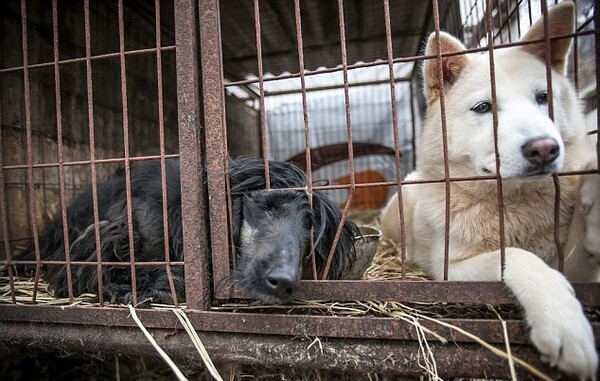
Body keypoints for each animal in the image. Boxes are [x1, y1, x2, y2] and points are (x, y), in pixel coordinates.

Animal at [382, 2, 596, 378]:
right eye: (483, 107)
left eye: (543, 98)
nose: (544, 149)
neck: (513, 203)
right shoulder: (450, 269)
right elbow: (515, 255)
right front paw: (562, 321)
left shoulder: (573, 263)